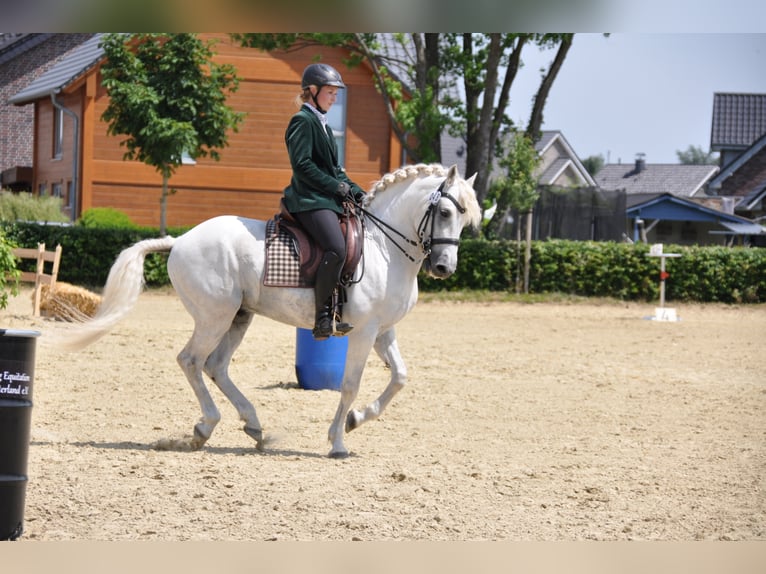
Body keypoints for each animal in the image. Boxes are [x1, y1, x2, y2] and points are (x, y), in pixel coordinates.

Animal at [55, 163, 481, 458]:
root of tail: (180, 240)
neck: (384, 247)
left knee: (216, 366)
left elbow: (400, 378)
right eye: (445, 213)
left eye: (465, 218)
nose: (444, 268)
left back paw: (253, 425)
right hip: (215, 317)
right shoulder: (362, 331)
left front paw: (357, 419)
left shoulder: (383, 330)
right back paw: (207, 427)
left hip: (239, 317)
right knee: (191, 360)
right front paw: (338, 441)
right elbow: (349, 385)